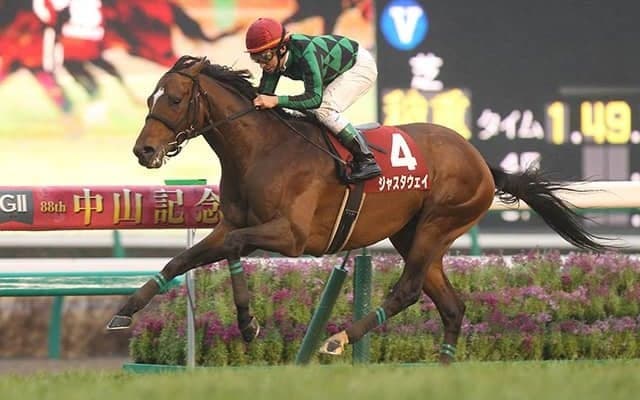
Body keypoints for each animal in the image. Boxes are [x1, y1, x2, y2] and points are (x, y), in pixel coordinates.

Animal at [107, 56, 616, 364]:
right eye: (151, 98)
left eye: (174, 98)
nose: (142, 150)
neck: (263, 150)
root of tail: (480, 161)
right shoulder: (234, 223)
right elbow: (183, 259)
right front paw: (125, 311)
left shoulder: (291, 237)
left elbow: (230, 248)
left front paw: (250, 325)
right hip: (413, 234)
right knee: (451, 305)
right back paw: (442, 365)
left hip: (438, 224)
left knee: (407, 290)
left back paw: (338, 338)